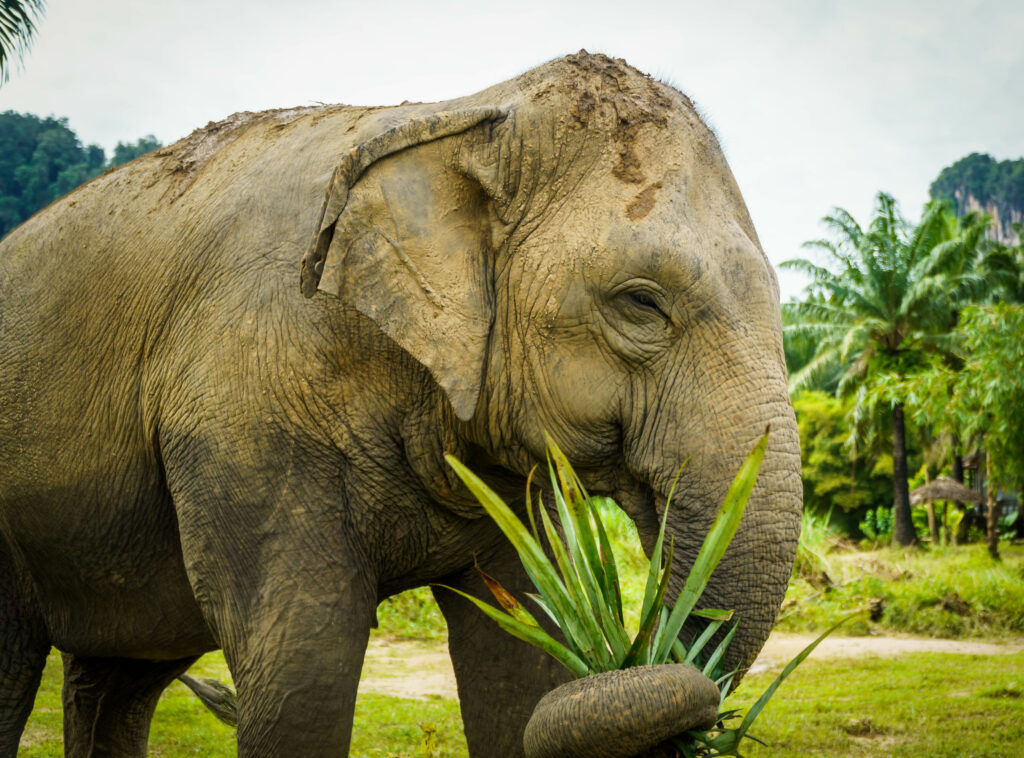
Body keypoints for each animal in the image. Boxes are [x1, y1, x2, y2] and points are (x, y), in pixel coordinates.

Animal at [0, 50, 798, 753]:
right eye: (641, 304)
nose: (644, 647)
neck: (466, 113)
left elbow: (518, 668)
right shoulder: (242, 412)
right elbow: (306, 666)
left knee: (118, 681)